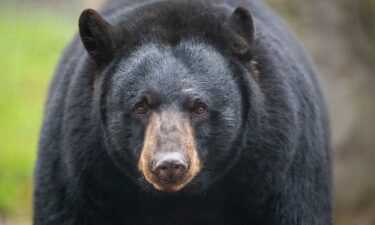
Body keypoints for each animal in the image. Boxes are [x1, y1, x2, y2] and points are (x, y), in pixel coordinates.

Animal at [33, 0, 332, 225]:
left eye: (199, 107)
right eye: (140, 106)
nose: (169, 165)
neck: (180, 200)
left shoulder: (277, 169)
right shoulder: (82, 175)